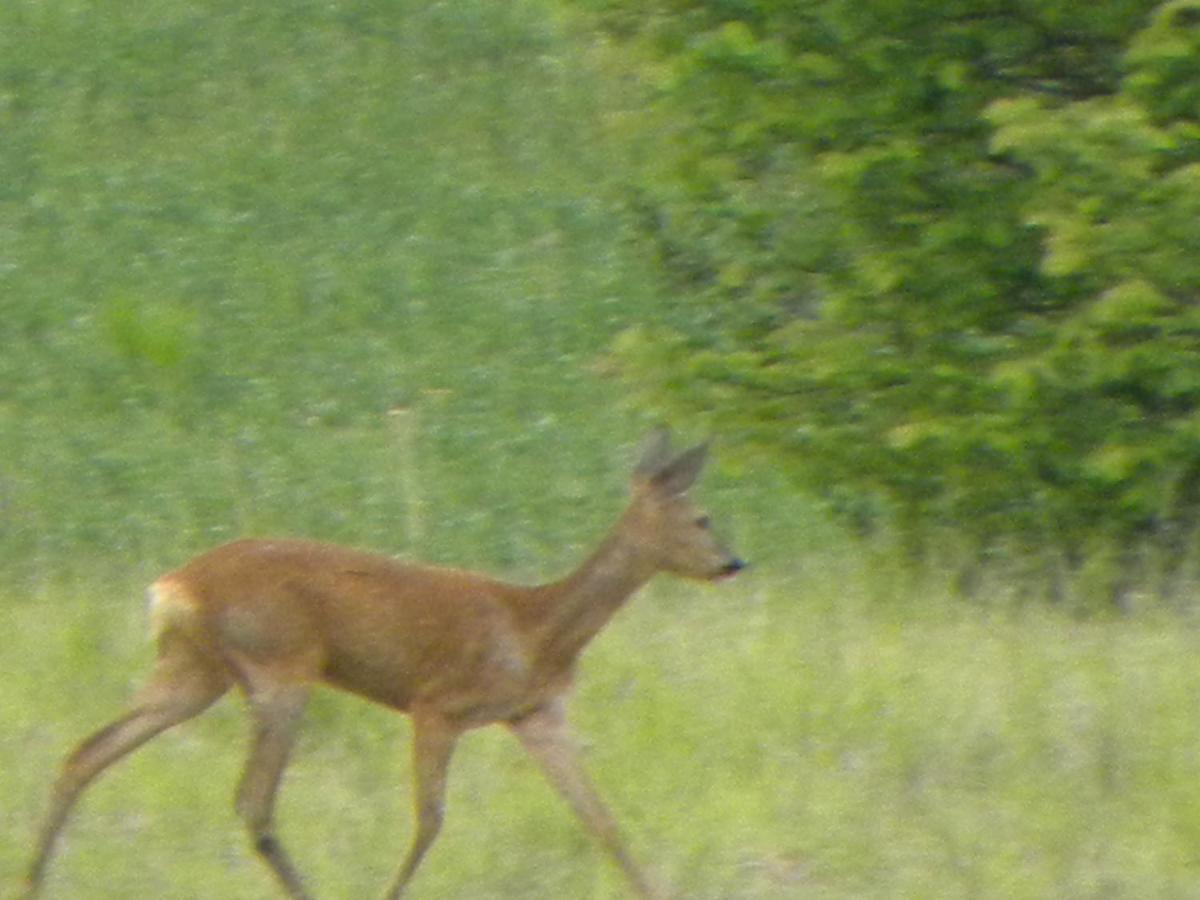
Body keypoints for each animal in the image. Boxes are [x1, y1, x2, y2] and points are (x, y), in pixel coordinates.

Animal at [23, 432, 744, 900]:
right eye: (703, 518)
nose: (734, 563)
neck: (536, 627)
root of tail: (175, 586)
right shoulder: (438, 706)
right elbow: (430, 821)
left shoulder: (537, 715)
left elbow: (603, 823)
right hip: (279, 667)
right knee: (253, 801)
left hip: (193, 673)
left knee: (84, 753)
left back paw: (32, 879)